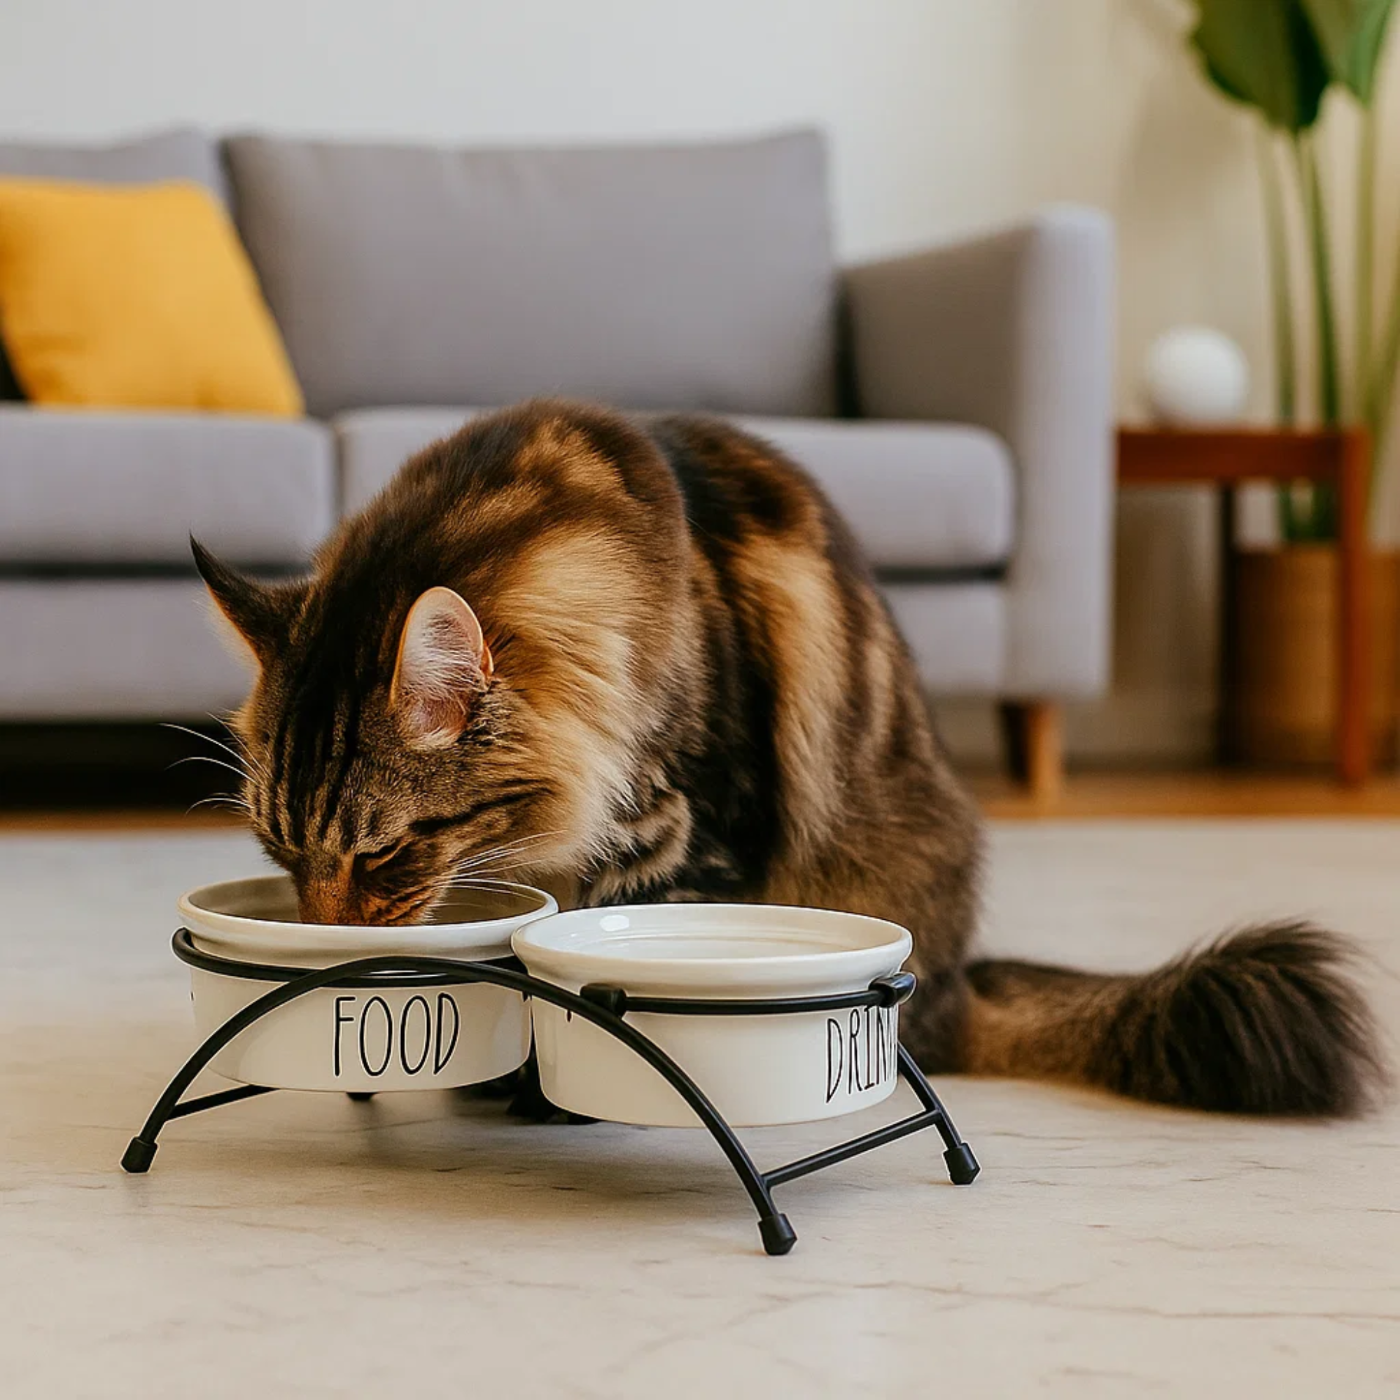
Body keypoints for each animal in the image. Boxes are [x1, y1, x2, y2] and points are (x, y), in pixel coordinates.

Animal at [193, 399, 1383, 1116]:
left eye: (384, 854)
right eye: (283, 853)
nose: (326, 937)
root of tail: (962, 976)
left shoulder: (690, 841)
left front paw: (546, 1096)